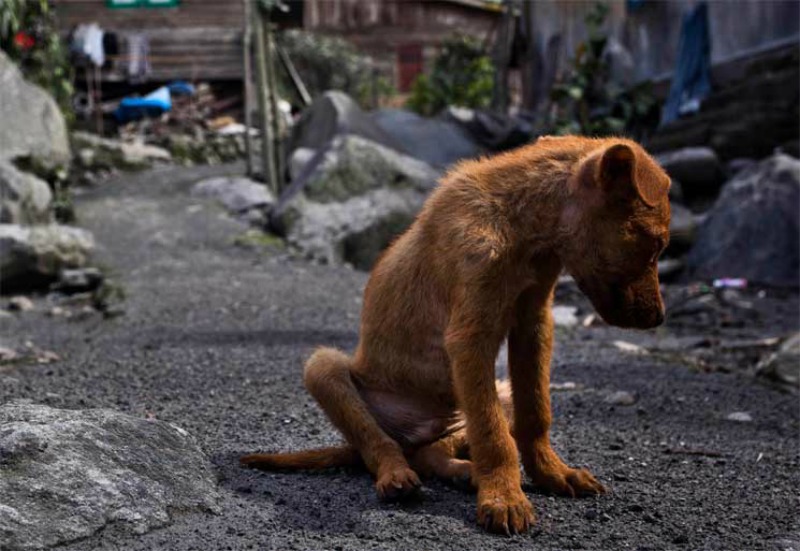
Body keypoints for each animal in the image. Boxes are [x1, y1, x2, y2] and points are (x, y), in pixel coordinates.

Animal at [241, 136, 672, 536]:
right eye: (655, 244)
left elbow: (535, 414)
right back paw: (397, 476)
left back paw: (463, 472)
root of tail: (414, 433)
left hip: (495, 394)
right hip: (324, 368)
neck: (519, 223)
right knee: (378, 444)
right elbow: (494, 436)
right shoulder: (469, 336)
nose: (660, 318)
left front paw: (551, 474)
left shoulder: (533, 325)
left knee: (431, 452)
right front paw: (505, 497)